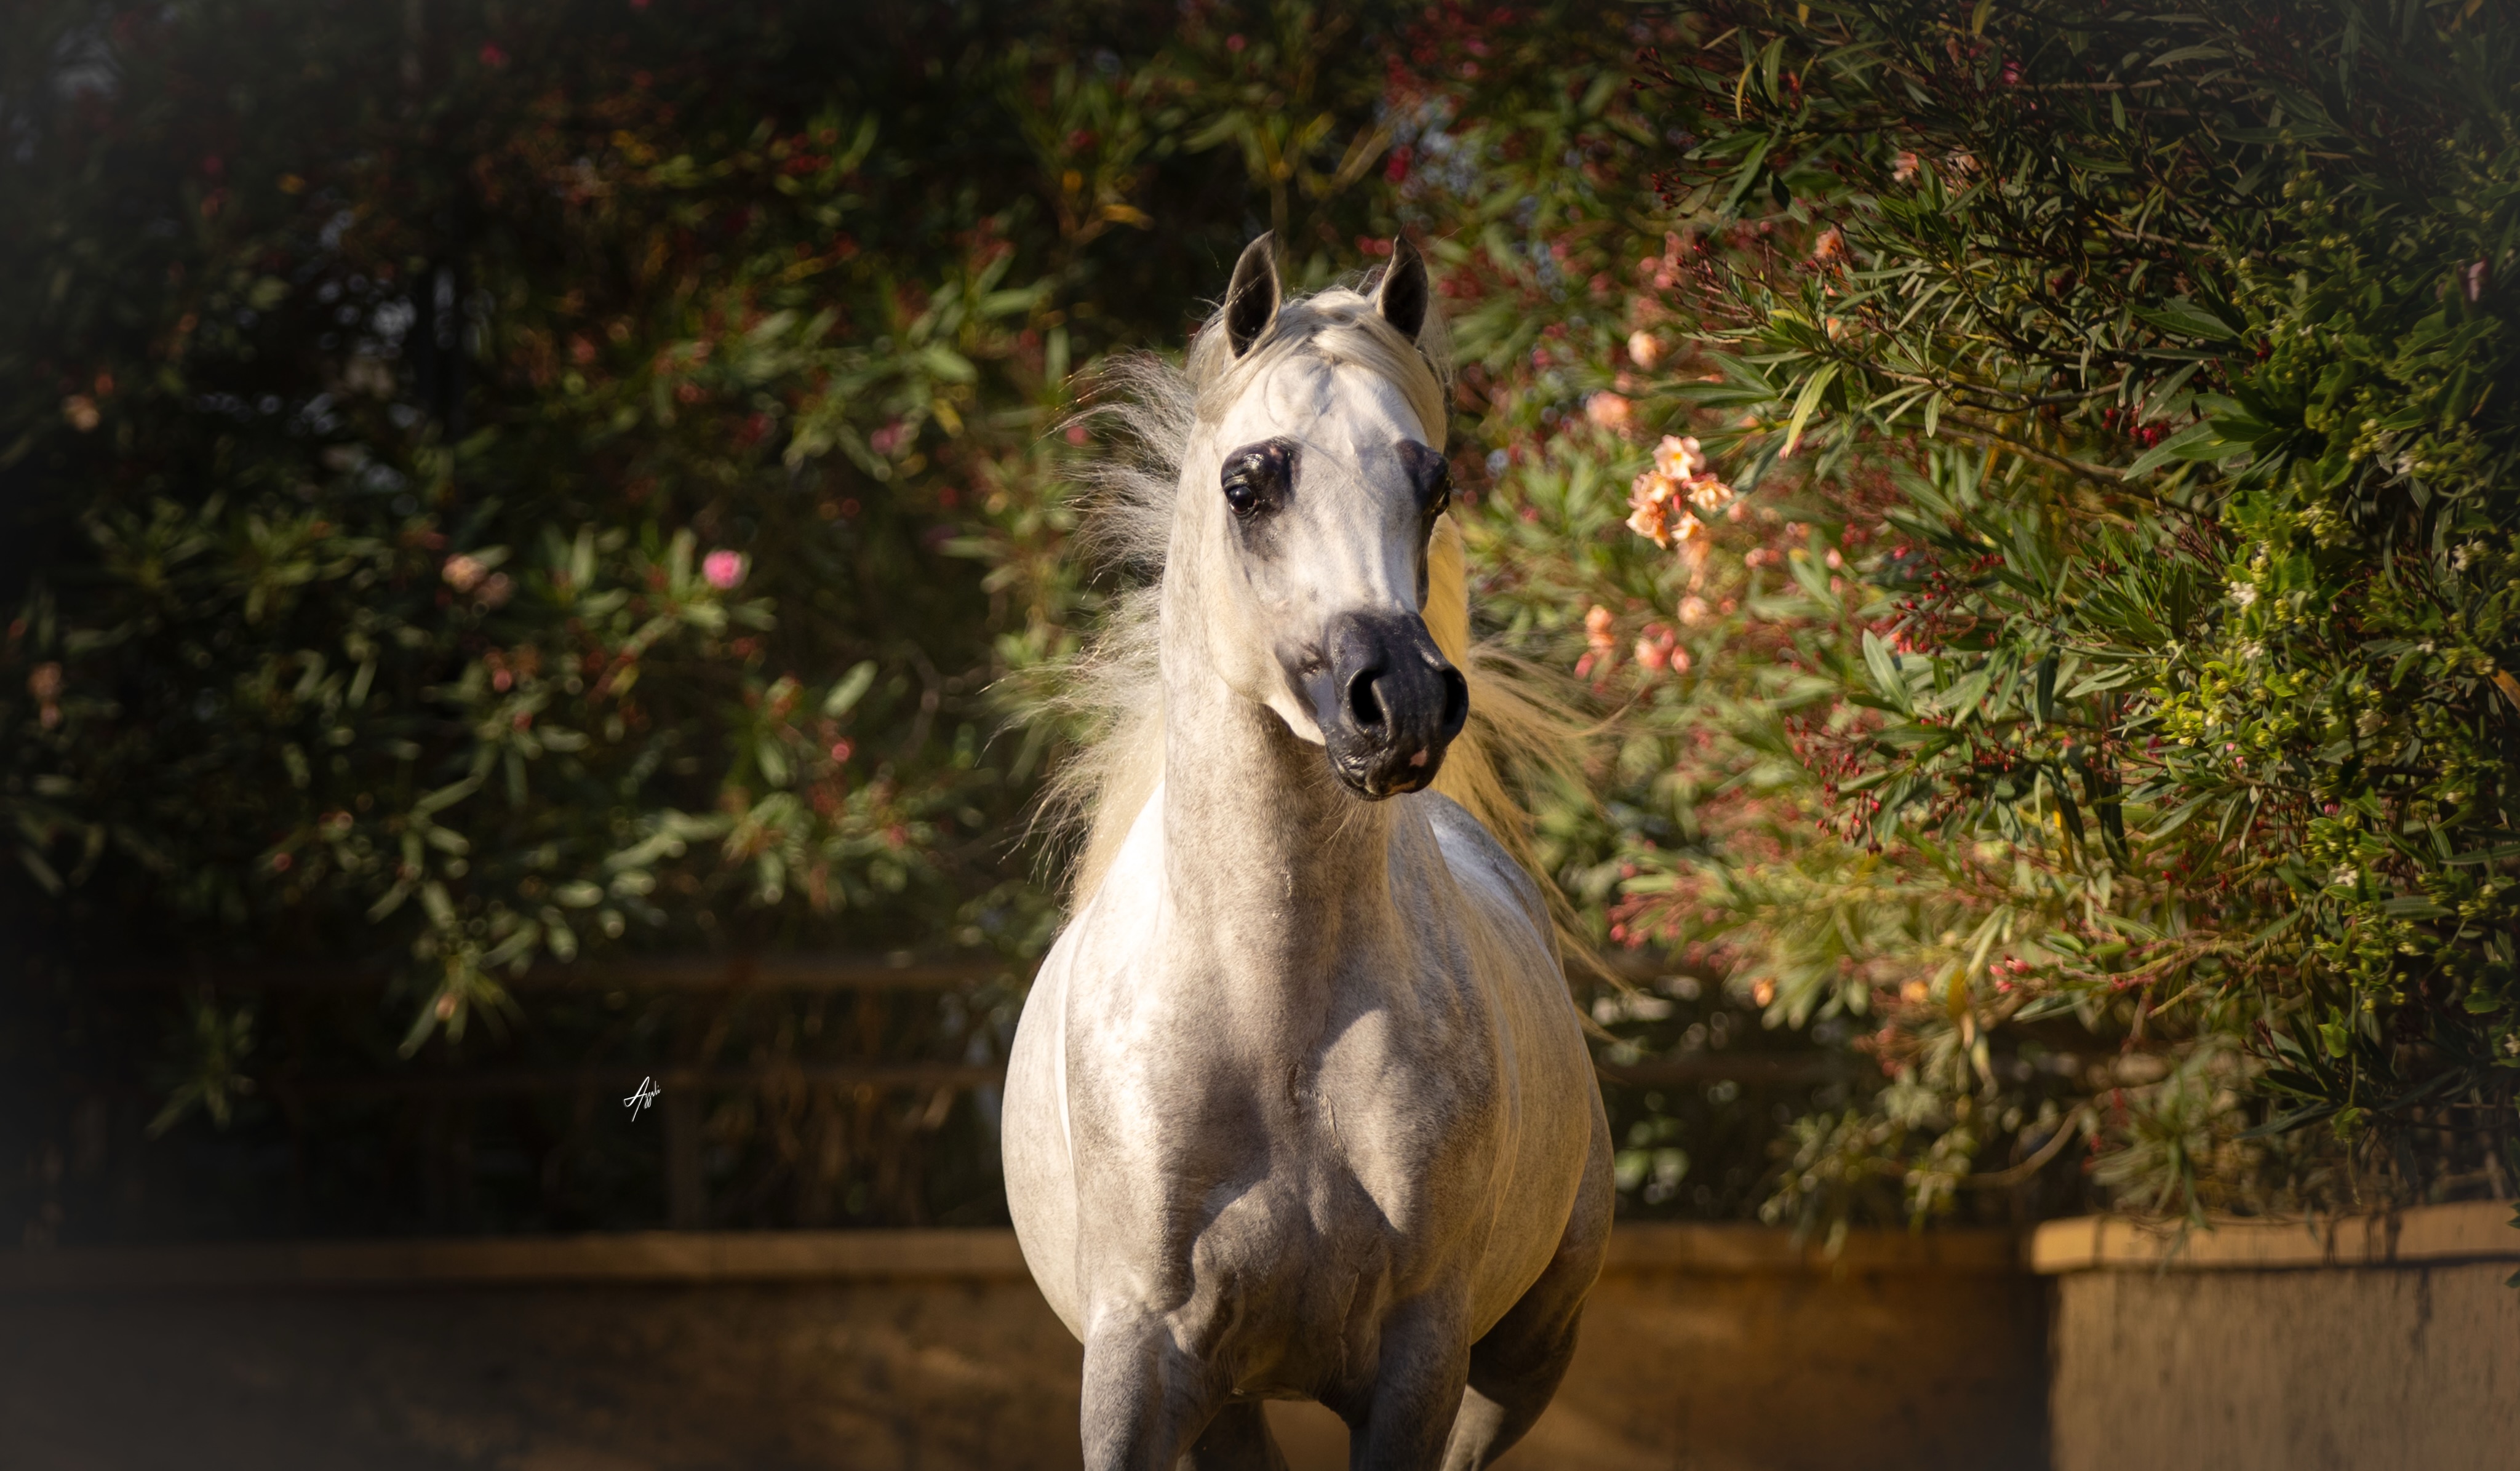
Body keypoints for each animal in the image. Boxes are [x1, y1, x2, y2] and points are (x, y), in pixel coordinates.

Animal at [1003, 233, 1613, 1471]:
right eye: (1249, 485)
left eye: (1434, 485)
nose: (1406, 703)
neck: (1273, 1021)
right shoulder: (1139, 1364)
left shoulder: (1419, 1364)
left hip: (1526, 1351)